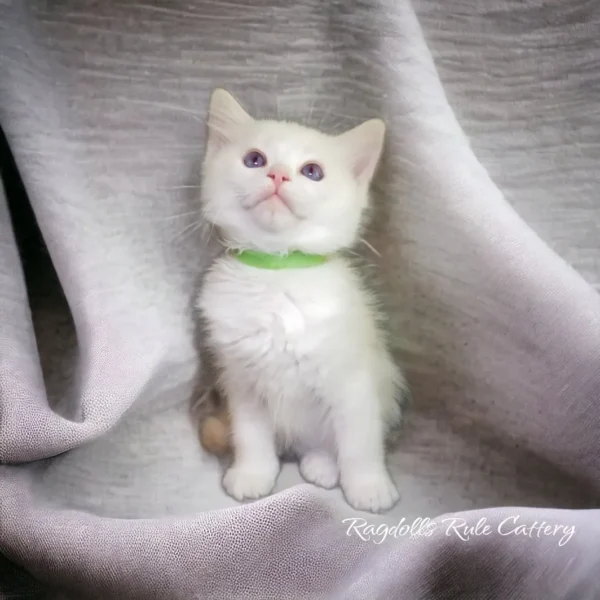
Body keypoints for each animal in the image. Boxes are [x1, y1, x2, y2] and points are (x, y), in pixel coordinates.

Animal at [195, 88, 406, 510]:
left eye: (312, 171)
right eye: (254, 160)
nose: (278, 174)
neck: (278, 271)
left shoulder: (354, 381)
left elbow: (359, 441)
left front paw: (369, 486)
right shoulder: (242, 382)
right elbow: (251, 435)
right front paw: (252, 474)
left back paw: (323, 466)